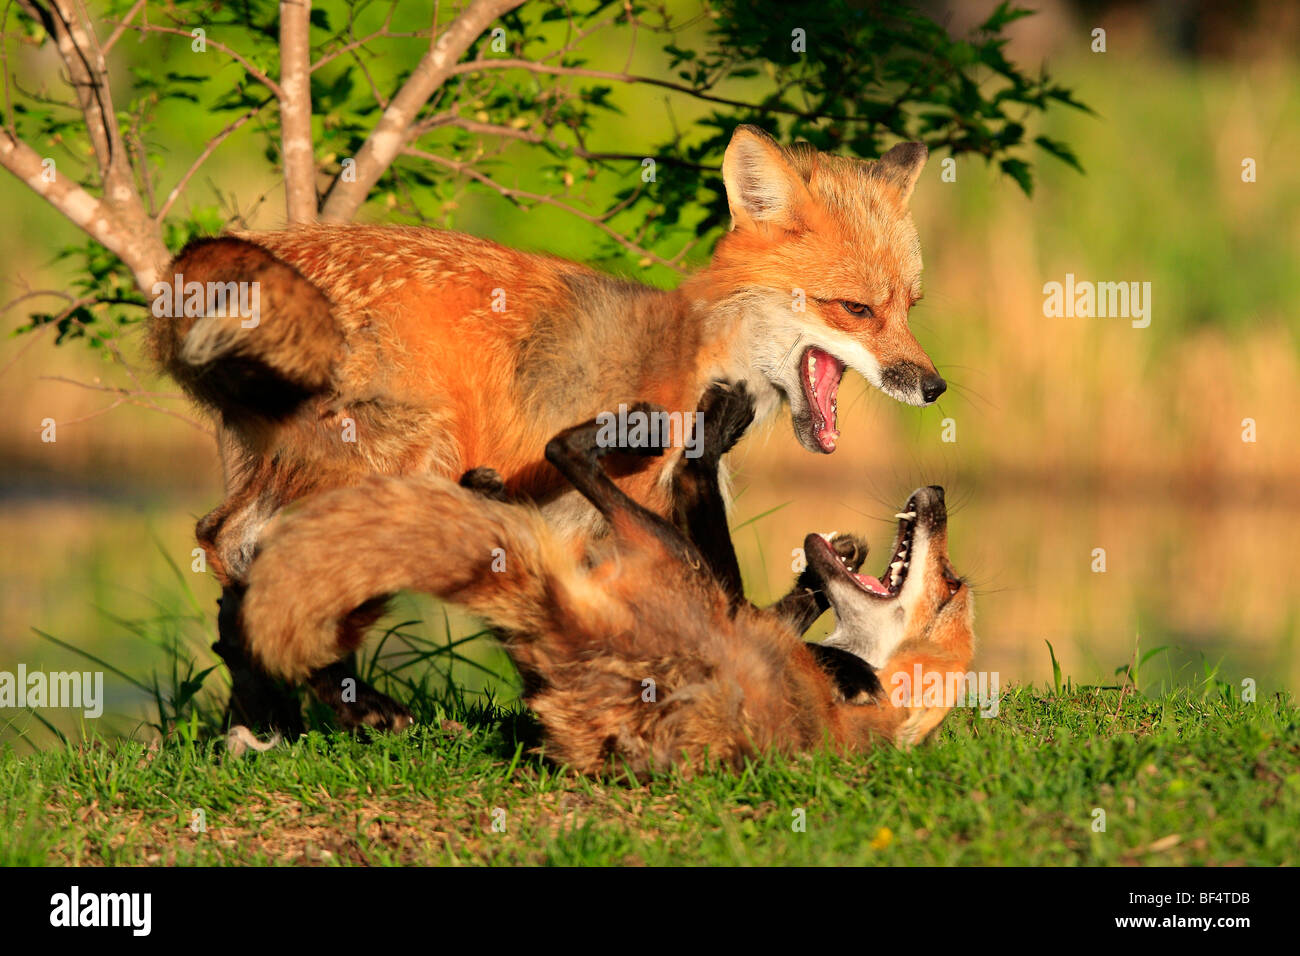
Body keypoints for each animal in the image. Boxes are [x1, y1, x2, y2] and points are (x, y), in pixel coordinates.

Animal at [147, 125, 945, 727]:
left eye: (910, 306)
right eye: (856, 310)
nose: (934, 386)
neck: (699, 355)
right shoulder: (637, 517)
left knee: (226, 548)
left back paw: (266, 720)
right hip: (407, 461)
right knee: (272, 566)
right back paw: (340, 707)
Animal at [240, 382, 975, 767]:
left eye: (949, 588)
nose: (939, 493)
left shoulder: (729, 608)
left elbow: (703, 504)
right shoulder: (756, 624)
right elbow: (785, 607)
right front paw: (828, 568)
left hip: (666, 551)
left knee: (571, 454)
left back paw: (674, 429)